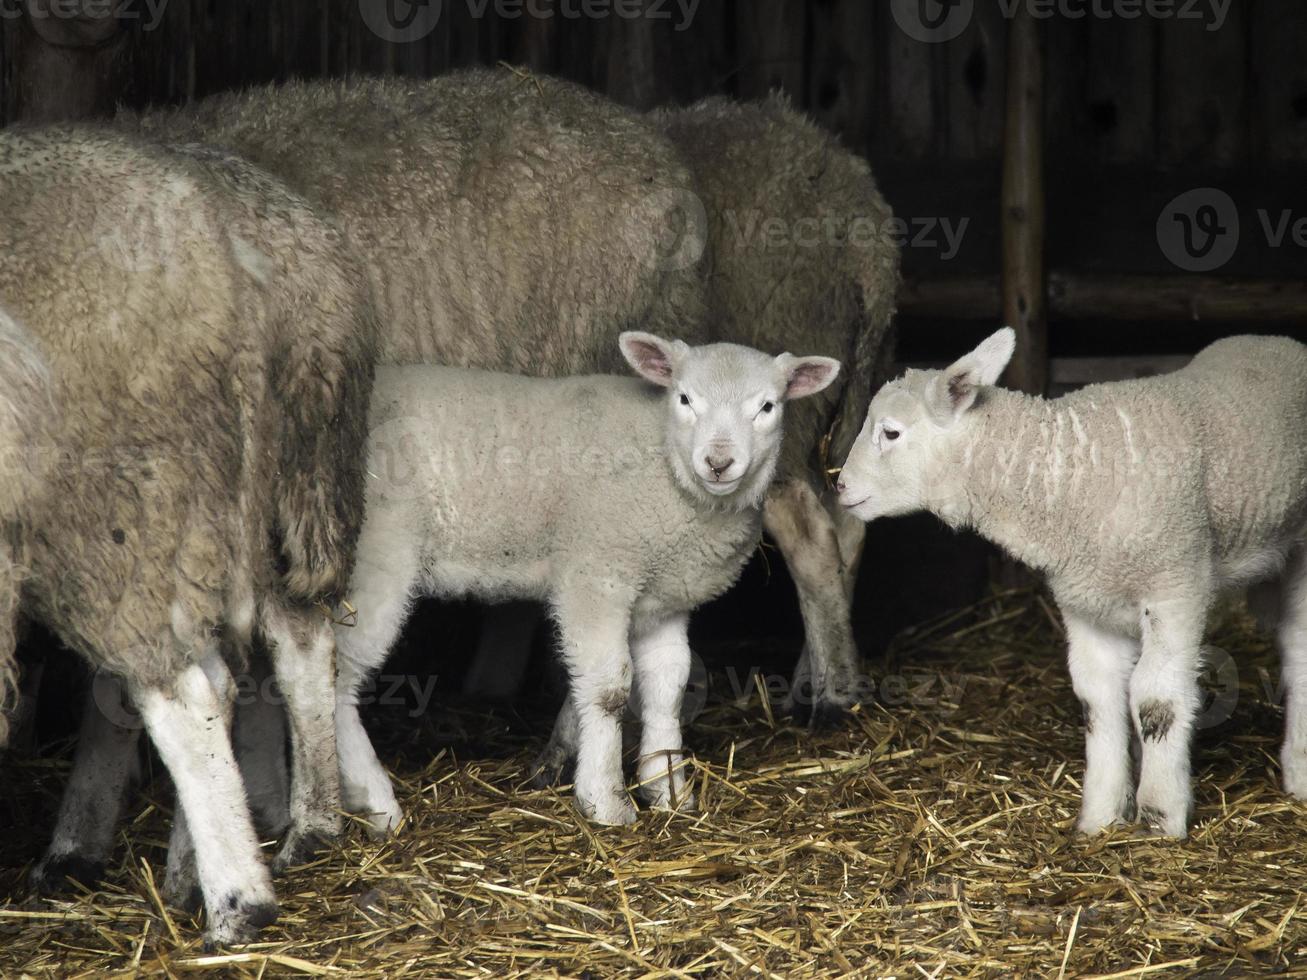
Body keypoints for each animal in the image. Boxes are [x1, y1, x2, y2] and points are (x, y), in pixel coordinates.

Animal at [1, 126, 379, 946]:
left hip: (124, 505)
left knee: (185, 689)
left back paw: (236, 902)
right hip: (268, 481)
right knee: (288, 643)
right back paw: (292, 838)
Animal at [337, 331, 836, 831]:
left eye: (767, 406)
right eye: (684, 398)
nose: (718, 462)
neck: (663, 460)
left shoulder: (664, 596)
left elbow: (668, 687)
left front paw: (668, 789)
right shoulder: (597, 574)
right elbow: (609, 688)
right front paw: (605, 799)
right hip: (378, 554)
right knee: (337, 675)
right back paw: (378, 804)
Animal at [836, 330, 1307, 836]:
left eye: (890, 433)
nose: (840, 487)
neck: (1064, 480)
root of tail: (1277, 341)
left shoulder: (1176, 583)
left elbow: (1156, 698)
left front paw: (1160, 816)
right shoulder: (1086, 601)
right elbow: (1096, 698)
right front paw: (1101, 817)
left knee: (1298, 647)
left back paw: (1298, 770)